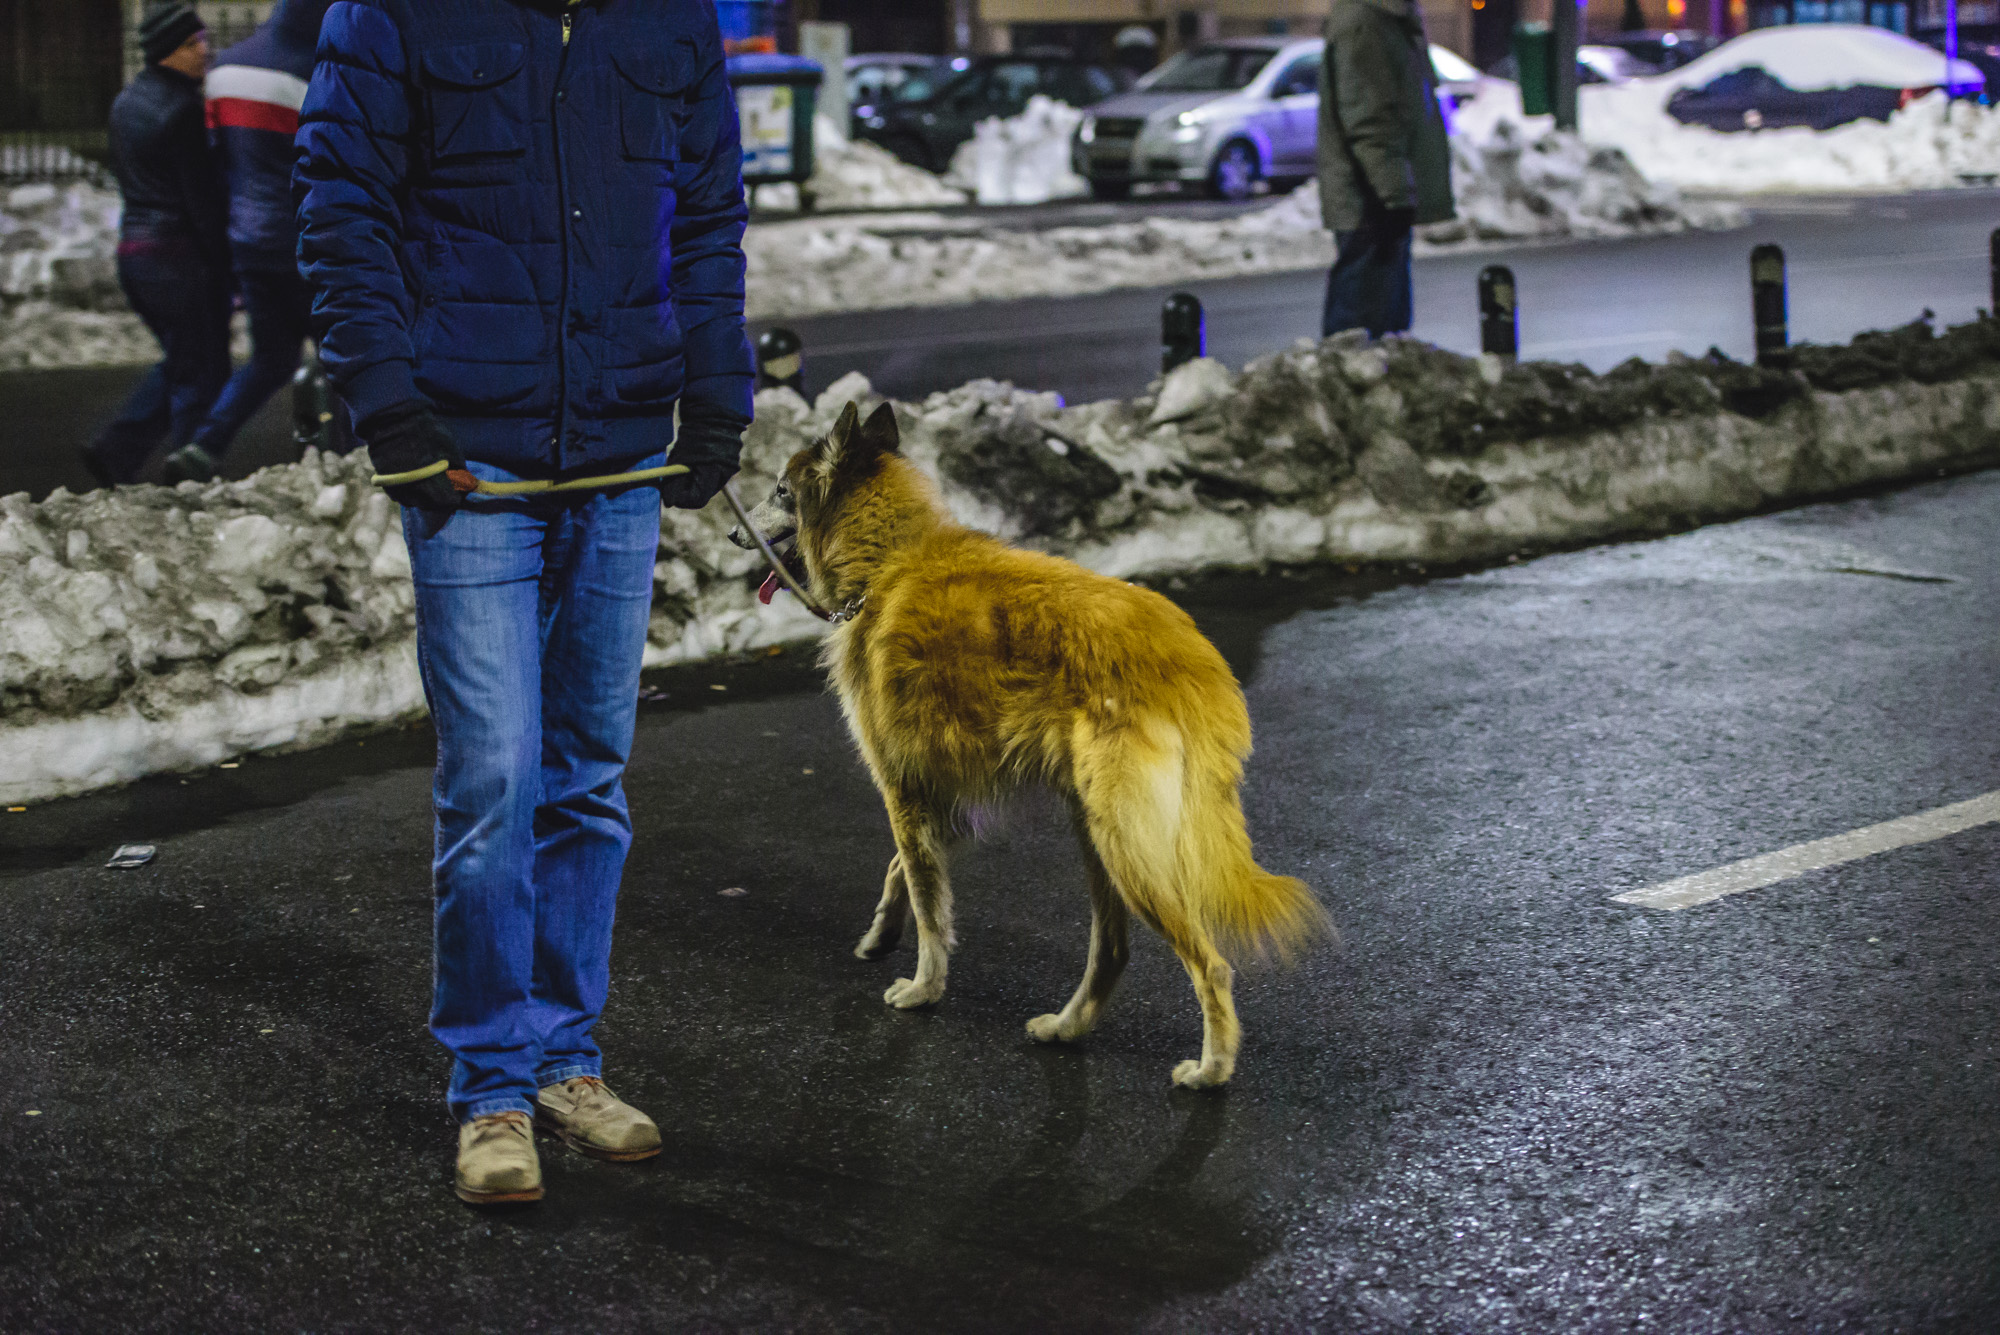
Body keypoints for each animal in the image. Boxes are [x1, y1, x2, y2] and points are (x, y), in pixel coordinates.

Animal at [736, 399, 1328, 1087]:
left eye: (781, 490)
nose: (735, 535)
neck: (888, 560)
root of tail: (1191, 661)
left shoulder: (904, 789)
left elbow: (929, 905)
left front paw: (923, 989)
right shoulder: (945, 798)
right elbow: (904, 873)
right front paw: (881, 936)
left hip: (1124, 844)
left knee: (1209, 964)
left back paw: (1210, 1069)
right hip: (1096, 835)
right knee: (1113, 951)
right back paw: (1066, 1029)